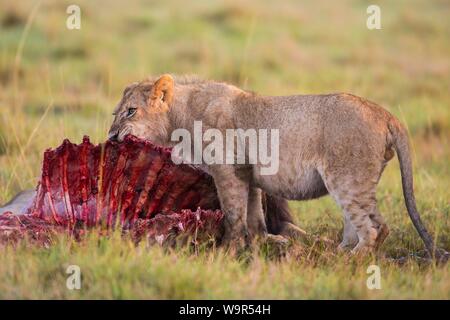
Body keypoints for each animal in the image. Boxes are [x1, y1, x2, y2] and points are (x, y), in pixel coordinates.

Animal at [110, 74, 440, 256]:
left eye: (130, 111)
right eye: (116, 112)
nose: (111, 136)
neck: (181, 116)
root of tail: (386, 114)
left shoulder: (228, 171)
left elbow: (233, 217)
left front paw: (224, 253)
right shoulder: (248, 175)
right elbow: (254, 219)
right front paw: (256, 250)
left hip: (347, 179)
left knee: (374, 229)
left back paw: (349, 260)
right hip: (353, 183)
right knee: (363, 226)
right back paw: (335, 253)